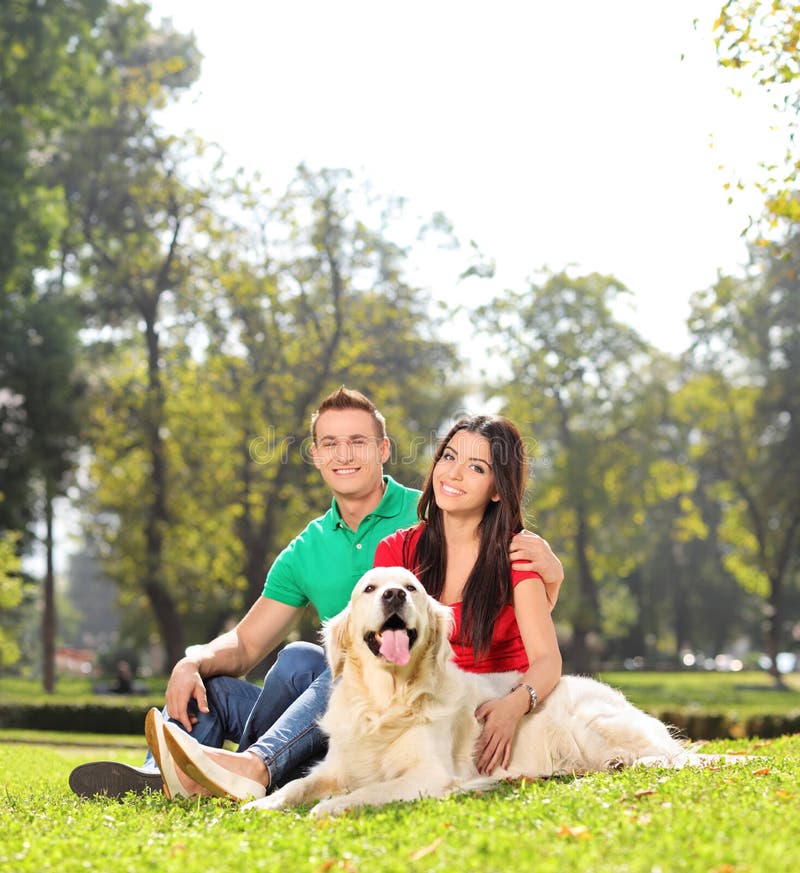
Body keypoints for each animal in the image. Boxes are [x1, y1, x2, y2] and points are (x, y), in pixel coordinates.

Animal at [244, 564, 692, 816]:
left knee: (667, 755)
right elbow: (297, 785)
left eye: (412, 588)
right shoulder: (336, 767)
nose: (394, 594)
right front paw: (259, 803)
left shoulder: (430, 773)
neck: (388, 701)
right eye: (369, 589)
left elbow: (371, 790)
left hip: (590, 721)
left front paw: (329, 807)